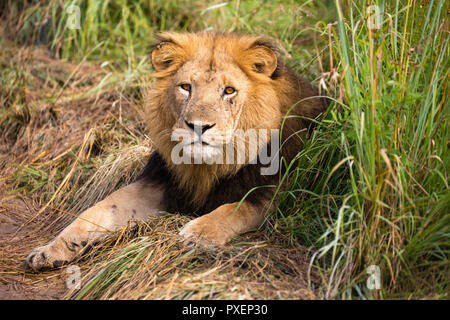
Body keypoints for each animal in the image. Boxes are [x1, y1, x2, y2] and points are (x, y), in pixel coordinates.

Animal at [25, 31, 326, 270]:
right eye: (185, 87)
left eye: (229, 91)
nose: (199, 126)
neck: (209, 166)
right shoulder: (158, 182)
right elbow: (99, 209)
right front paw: (51, 249)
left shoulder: (271, 191)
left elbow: (234, 209)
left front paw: (196, 233)